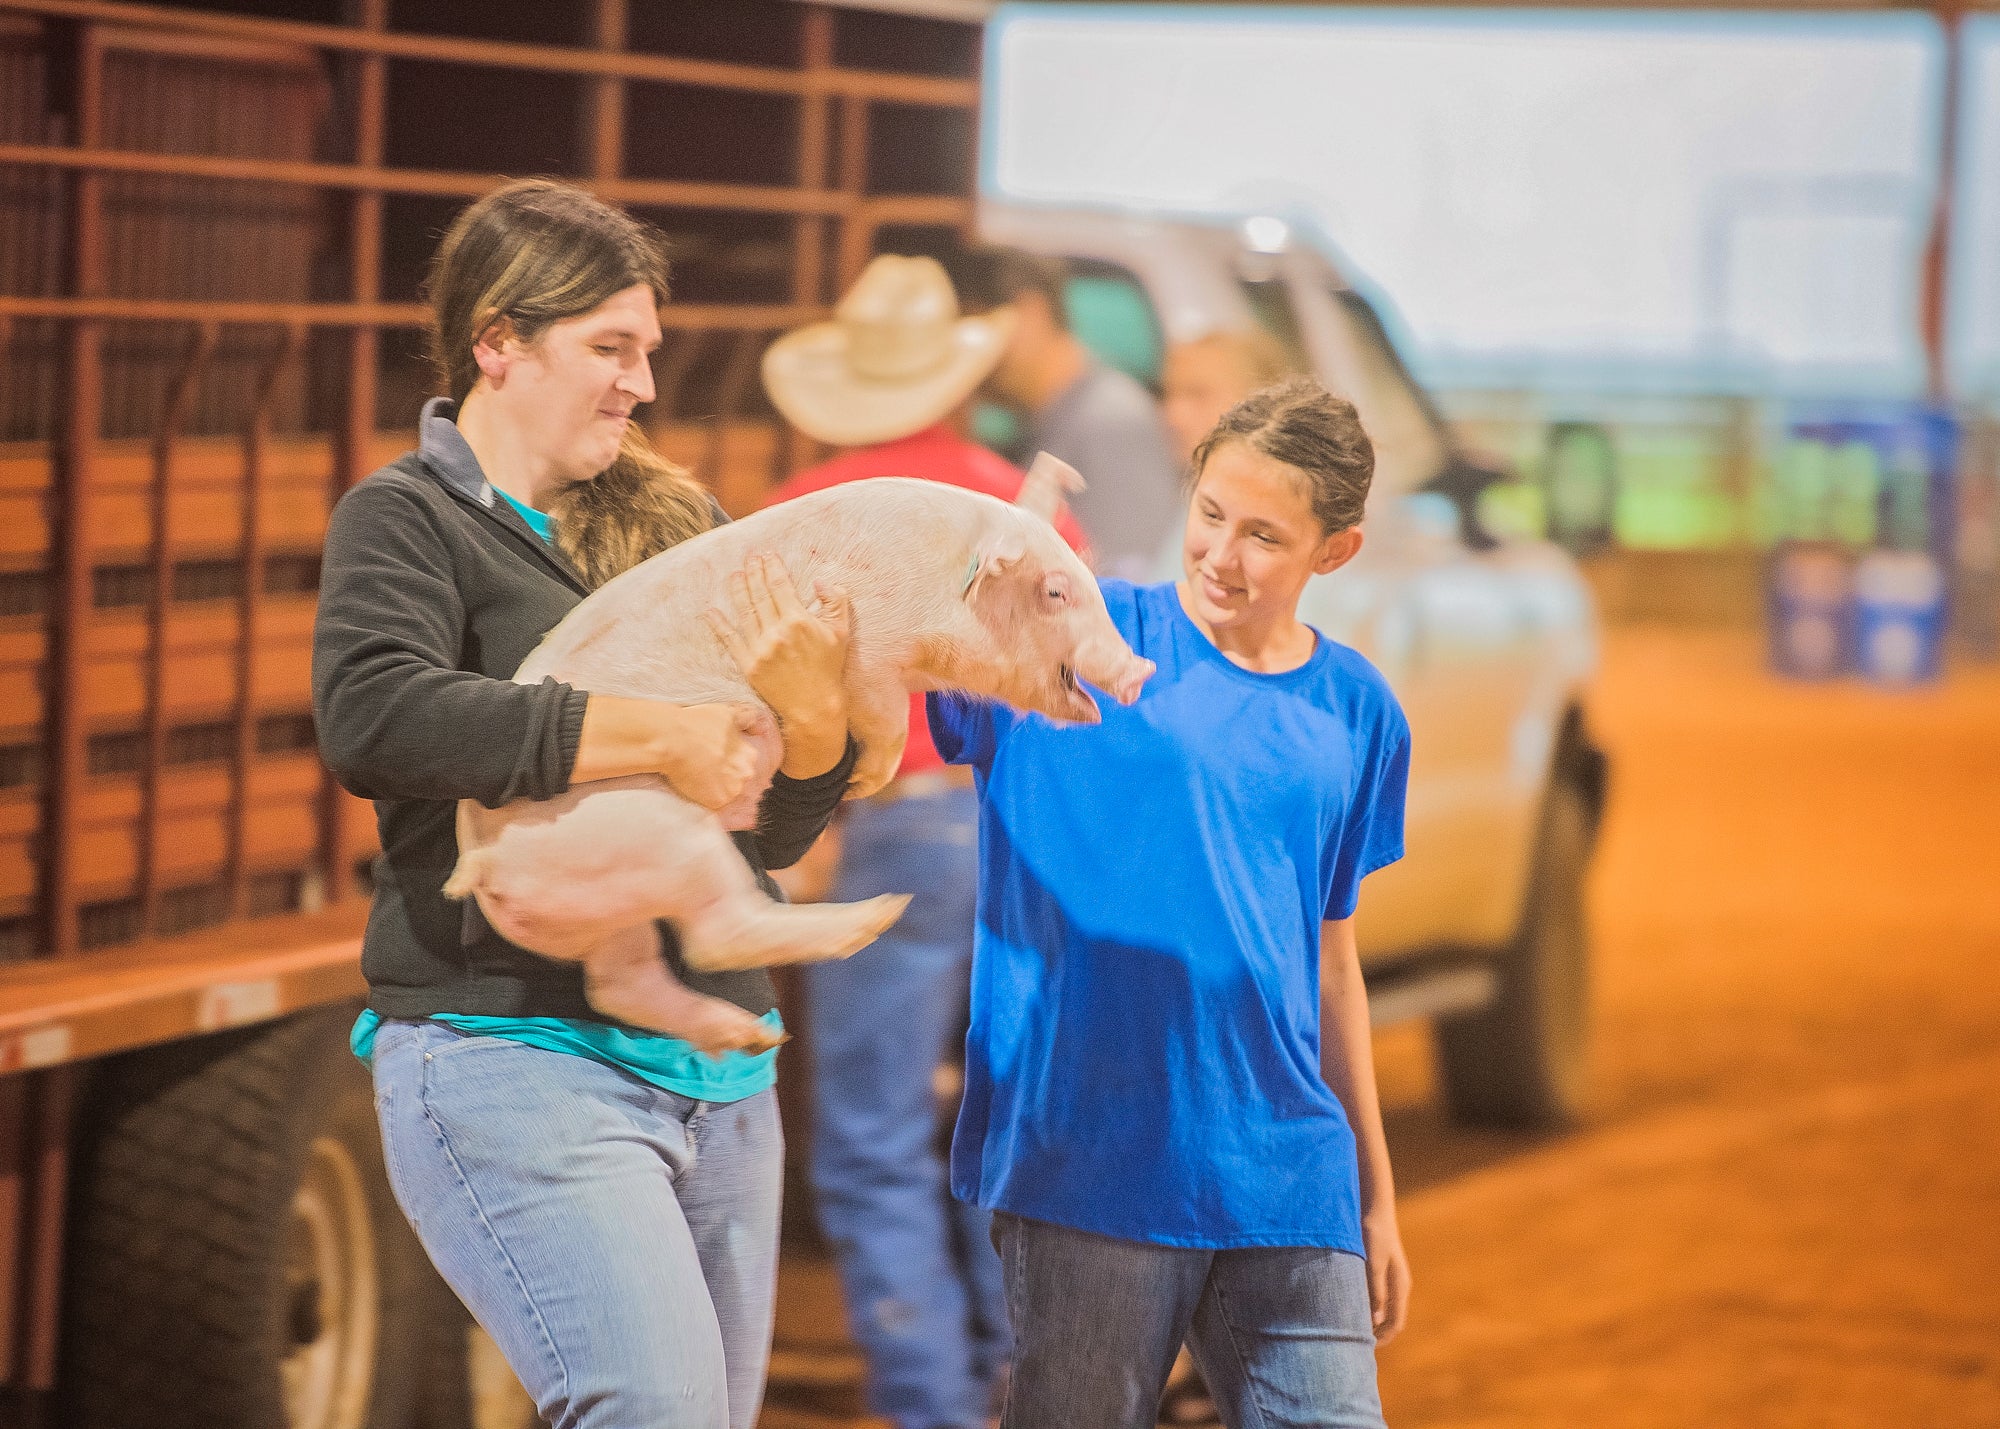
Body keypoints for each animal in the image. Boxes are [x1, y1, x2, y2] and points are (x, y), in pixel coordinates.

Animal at [444, 456, 1152, 1048]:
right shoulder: (868, 647)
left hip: (606, 898)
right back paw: (877, 919)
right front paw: (868, 781)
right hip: (650, 827)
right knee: (715, 938)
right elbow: (884, 713)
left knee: (619, 981)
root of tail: (480, 864)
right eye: (1056, 592)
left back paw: (753, 1038)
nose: (1139, 670)